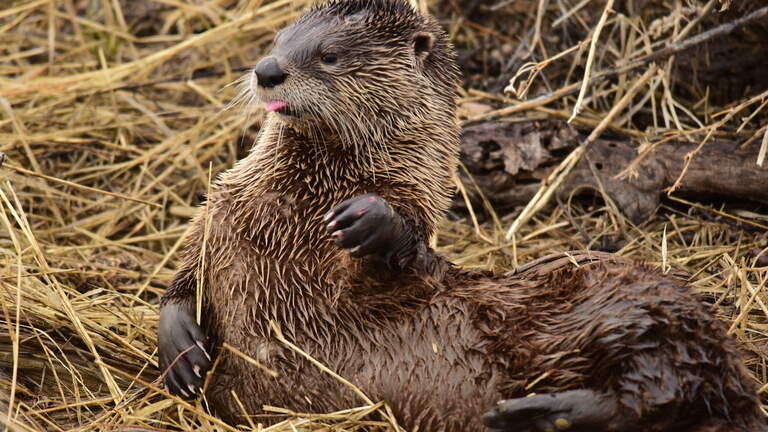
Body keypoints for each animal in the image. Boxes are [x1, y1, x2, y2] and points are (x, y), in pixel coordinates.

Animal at [157, 0, 766, 431]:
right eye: (280, 39)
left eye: (328, 54)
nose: (267, 70)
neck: (289, 213)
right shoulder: (222, 210)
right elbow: (183, 278)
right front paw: (180, 349)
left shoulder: (396, 272)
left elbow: (414, 256)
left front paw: (373, 218)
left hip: (628, 303)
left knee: (655, 386)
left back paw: (533, 412)